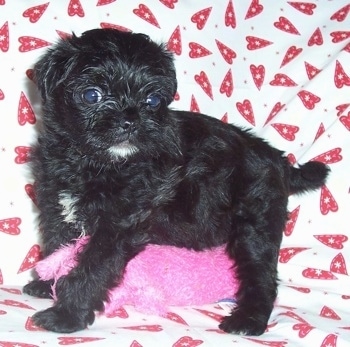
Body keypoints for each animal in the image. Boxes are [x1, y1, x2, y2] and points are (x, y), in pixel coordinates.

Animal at [23, 29, 330, 338]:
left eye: (152, 100)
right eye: (91, 95)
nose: (130, 120)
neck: (94, 162)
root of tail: (277, 158)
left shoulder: (118, 226)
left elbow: (93, 266)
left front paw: (66, 314)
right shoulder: (55, 202)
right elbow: (58, 244)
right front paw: (46, 284)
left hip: (256, 225)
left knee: (261, 273)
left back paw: (248, 319)